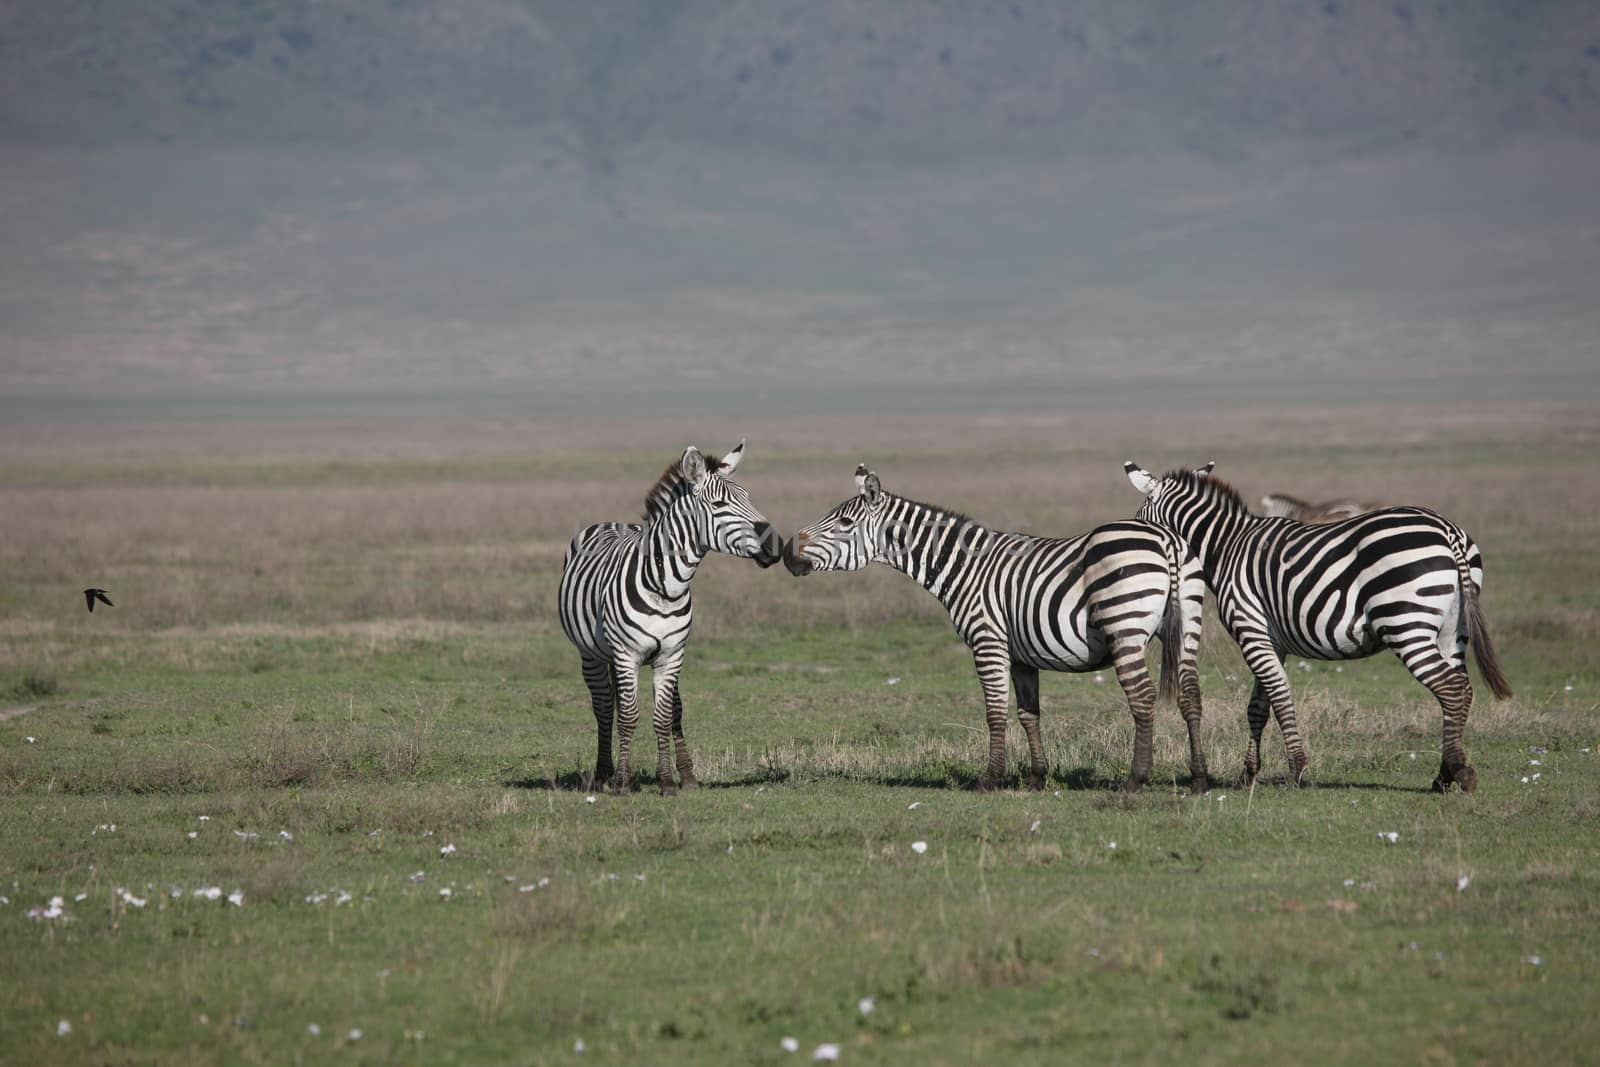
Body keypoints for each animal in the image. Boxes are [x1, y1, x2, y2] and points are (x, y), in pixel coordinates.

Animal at [560, 438, 784, 796]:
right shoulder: (627, 654)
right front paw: (622, 782)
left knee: (662, 708)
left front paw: (668, 781)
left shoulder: (671, 655)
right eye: (720, 504)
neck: (665, 584)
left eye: (749, 497)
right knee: (605, 707)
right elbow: (629, 716)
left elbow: (664, 717)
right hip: (591, 654)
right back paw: (604, 774)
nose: (776, 546)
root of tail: (613, 522)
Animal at [780, 463, 1203, 793]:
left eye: (845, 523)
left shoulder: (988, 641)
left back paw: (1136, 778)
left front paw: (991, 778)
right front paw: (1036, 778)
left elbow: (995, 712)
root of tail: (1165, 538)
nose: (786, 554)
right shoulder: (1022, 655)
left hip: (1124, 627)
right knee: (1190, 695)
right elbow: (1029, 713)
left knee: (1142, 698)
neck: (965, 566)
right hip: (1189, 626)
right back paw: (1199, 778)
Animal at [1126, 460, 1510, 793]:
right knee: (1461, 690)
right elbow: (1258, 707)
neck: (1226, 547)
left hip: (1406, 624)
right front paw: (1248, 774)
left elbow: (1280, 697)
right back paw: (1445, 775)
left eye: (1140, 516)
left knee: (1450, 689)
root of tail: (1448, 532)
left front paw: (1295, 768)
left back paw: (1457, 772)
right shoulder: (1272, 640)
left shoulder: (1250, 629)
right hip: (1451, 631)